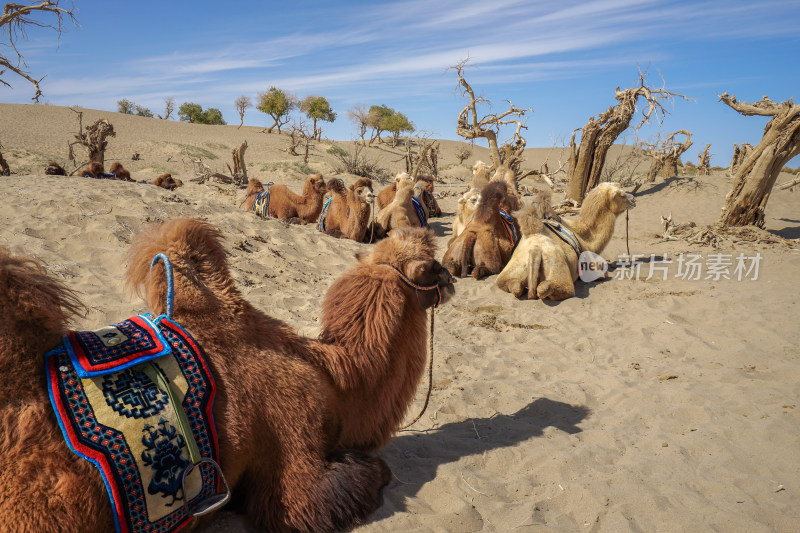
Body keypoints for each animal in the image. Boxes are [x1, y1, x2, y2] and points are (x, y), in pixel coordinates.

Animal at [496, 182, 636, 300]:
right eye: (621, 195)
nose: (634, 200)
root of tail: (534, 251)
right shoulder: (593, 266)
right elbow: (603, 272)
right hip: (557, 268)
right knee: (548, 288)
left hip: (511, 270)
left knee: (514, 285)